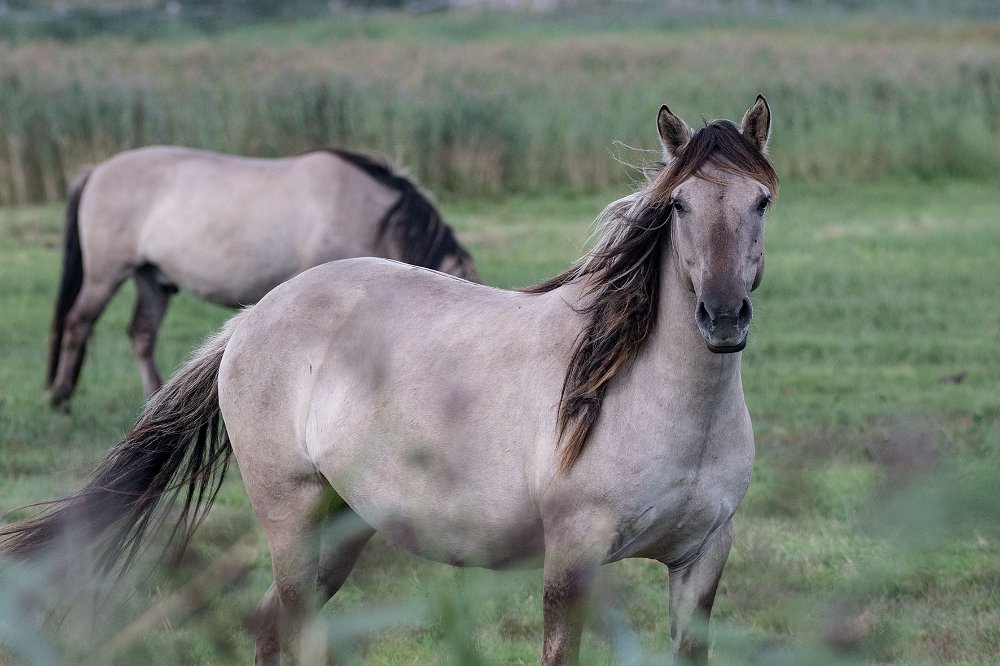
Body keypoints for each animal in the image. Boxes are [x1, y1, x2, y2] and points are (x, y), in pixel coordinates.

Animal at [45, 146, 480, 407]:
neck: (370, 212)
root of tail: (97, 169)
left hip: (152, 279)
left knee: (141, 334)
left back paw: (155, 398)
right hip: (106, 274)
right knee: (77, 323)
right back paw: (61, 397)